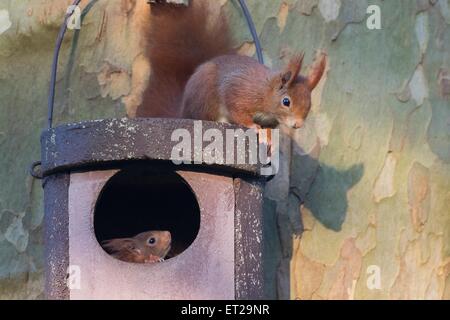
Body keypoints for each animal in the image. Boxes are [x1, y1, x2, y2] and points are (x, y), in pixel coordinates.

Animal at [137, 0, 326, 138]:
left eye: (309, 104)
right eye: (286, 102)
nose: (298, 125)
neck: (265, 91)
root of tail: (183, 110)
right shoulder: (239, 92)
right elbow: (237, 109)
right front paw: (252, 125)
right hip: (205, 99)